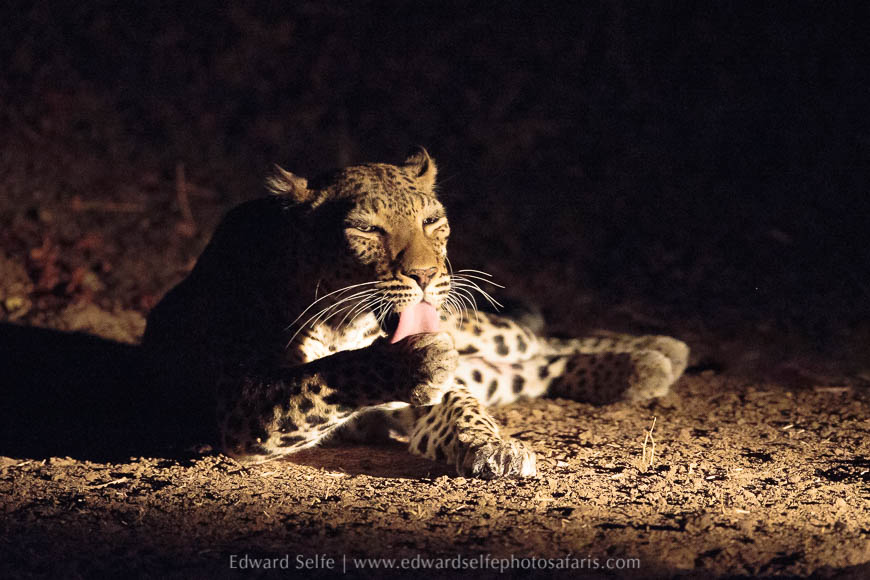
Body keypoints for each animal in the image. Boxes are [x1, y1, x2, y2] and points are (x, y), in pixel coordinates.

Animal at [142, 147, 689, 479]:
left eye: (432, 221)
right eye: (367, 229)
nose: (425, 275)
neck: (346, 325)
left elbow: (461, 405)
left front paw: (496, 447)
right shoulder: (240, 399)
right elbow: (324, 375)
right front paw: (415, 359)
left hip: (476, 326)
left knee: (536, 341)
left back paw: (658, 351)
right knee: (533, 367)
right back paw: (647, 365)